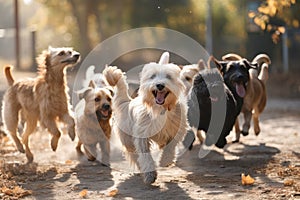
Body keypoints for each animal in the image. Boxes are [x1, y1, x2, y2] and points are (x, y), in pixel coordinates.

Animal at [103, 52, 188, 185]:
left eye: (168, 77)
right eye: (152, 76)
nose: (160, 85)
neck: (159, 109)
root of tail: (127, 102)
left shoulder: (177, 129)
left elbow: (171, 146)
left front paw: (165, 160)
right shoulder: (142, 135)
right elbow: (145, 155)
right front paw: (150, 175)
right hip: (128, 140)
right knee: (135, 155)